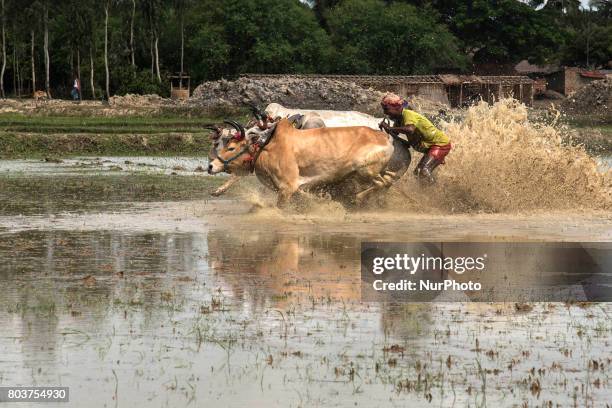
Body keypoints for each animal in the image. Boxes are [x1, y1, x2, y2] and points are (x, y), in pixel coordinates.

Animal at [208, 118, 402, 207]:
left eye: (231, 147)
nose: (211, 166)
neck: (266, 147)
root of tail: (384, 137)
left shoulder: (287, 188)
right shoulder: (296, 188)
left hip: (365, 170)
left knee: (381, 183)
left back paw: (356, 199)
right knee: (388, 180)